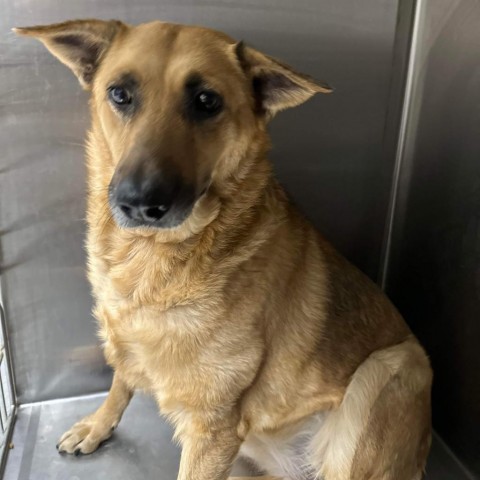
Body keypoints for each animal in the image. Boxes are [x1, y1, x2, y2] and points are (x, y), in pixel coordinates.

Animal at [15, 18, 434, 480]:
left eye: (206, 101)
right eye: (119, 94)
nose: (139, 202)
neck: (152, 258)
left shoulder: (211, 432)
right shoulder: (126, 341)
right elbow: (121, 379)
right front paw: (98, 423)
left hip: (390, 369)